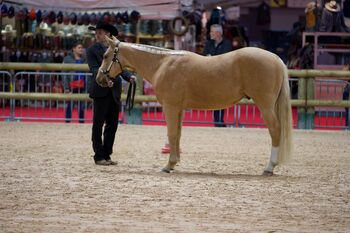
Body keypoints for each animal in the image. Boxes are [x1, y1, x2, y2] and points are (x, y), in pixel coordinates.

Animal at [96, 36, 292, 175]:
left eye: (105, 56)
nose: (99, 79)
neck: (163, 64)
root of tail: (275, 58)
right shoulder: (179, 109)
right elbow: (177, 135)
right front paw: (174, 163)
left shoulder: (170, 107)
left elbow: (171, 134)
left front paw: (168, 165)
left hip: (265, 106)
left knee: (275, 130)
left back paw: (269, 167)